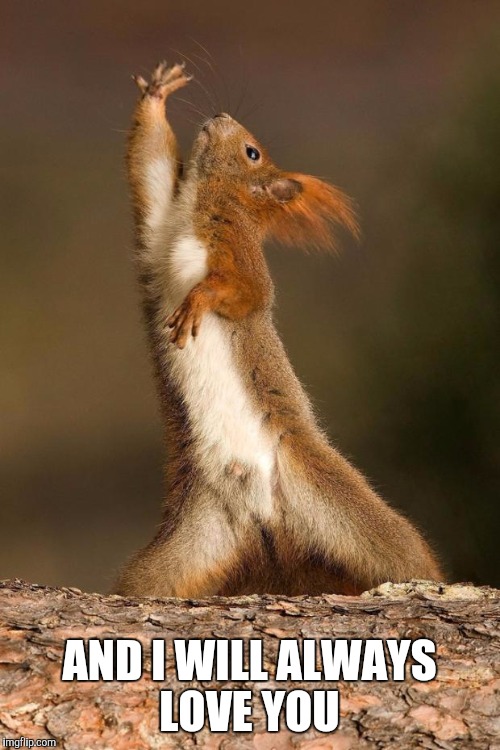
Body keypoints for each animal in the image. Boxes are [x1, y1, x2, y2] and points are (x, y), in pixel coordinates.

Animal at [114, 61, 443, 598]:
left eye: (252, 152)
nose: (220, 116)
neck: (200, 206)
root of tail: (265, 518)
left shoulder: (240, 256)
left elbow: (244, 292)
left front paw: (198, 302)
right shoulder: (158, 223)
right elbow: (149, 169)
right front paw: (157, 95)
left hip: (351, 513)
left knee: (405, 557)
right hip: (184, 546)